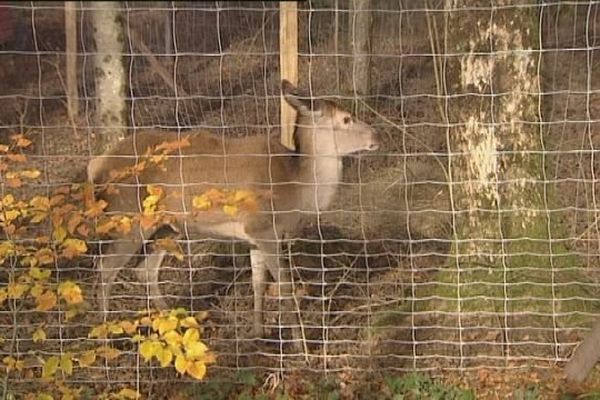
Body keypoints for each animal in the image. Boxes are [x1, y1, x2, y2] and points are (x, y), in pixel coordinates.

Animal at [88, 80, 380, 346]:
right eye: (346, 119)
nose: (377, 136)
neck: (297, 190)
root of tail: (96, 166)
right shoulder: (264, 227)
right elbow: (285, 286)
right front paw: (301, 346)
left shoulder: (253, 235)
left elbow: (258, 282)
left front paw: (257, 332)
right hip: (128, 216)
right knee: (105, 268)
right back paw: (104, 340)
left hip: (167, 227)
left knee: (144, 270)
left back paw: (177, 328)